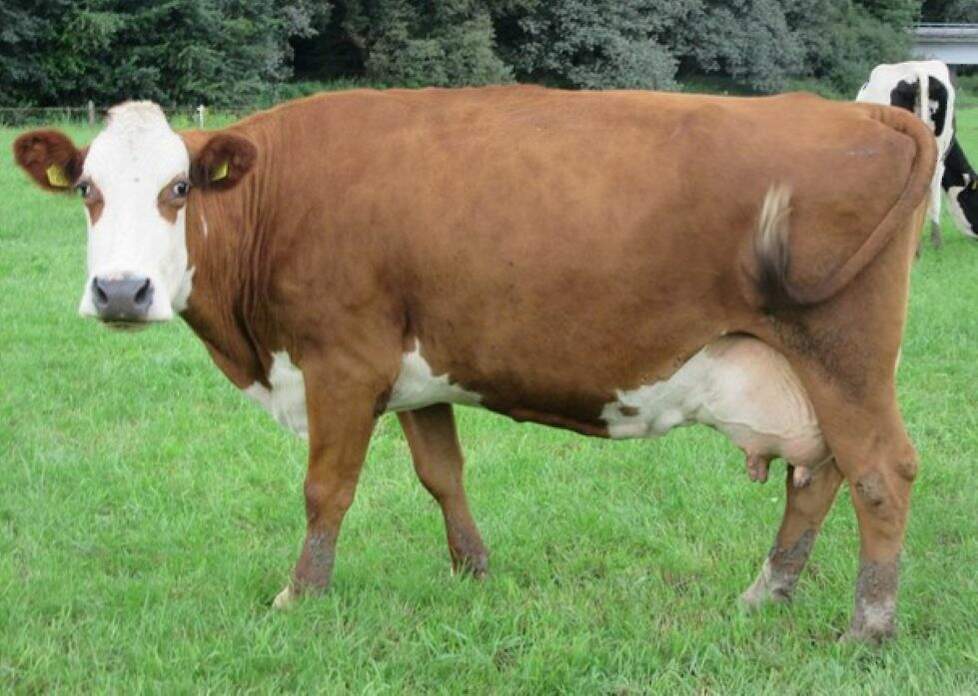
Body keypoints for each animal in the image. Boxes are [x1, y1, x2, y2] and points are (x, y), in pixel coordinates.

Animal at [13, 86, 936, 642]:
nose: (120, 290)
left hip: (844, 354)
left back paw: (869, 625)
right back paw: (766, 592)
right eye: (88, 189)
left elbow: (326, 489)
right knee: (818, 475)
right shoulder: (417, 369)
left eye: (178, 189)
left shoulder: (342, 361)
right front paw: (474, 570)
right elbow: (442, 472)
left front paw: (300, 595)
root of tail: (866, 118)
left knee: (879, 471)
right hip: (804, 371)